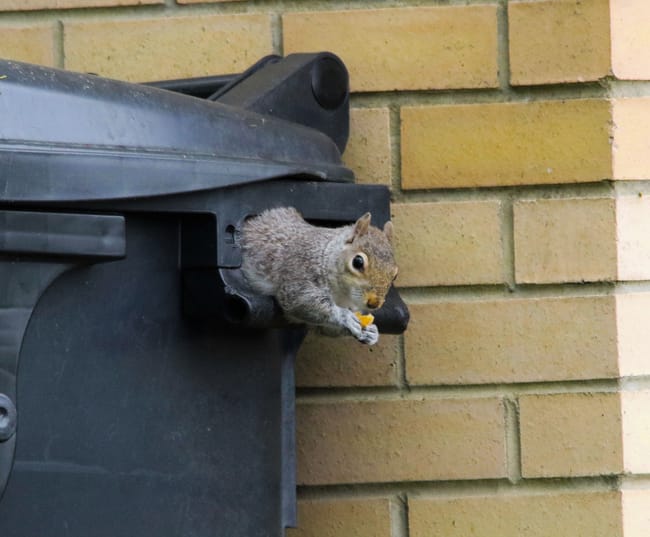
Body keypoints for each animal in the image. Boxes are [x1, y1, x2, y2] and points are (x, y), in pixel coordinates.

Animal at [240, 207, 398, 345]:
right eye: (357, 262)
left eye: (395, 275)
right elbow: (300, 300)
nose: (374, 303)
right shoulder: (299, 272)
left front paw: (371, 332)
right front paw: (344, 316)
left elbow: (326, 329)